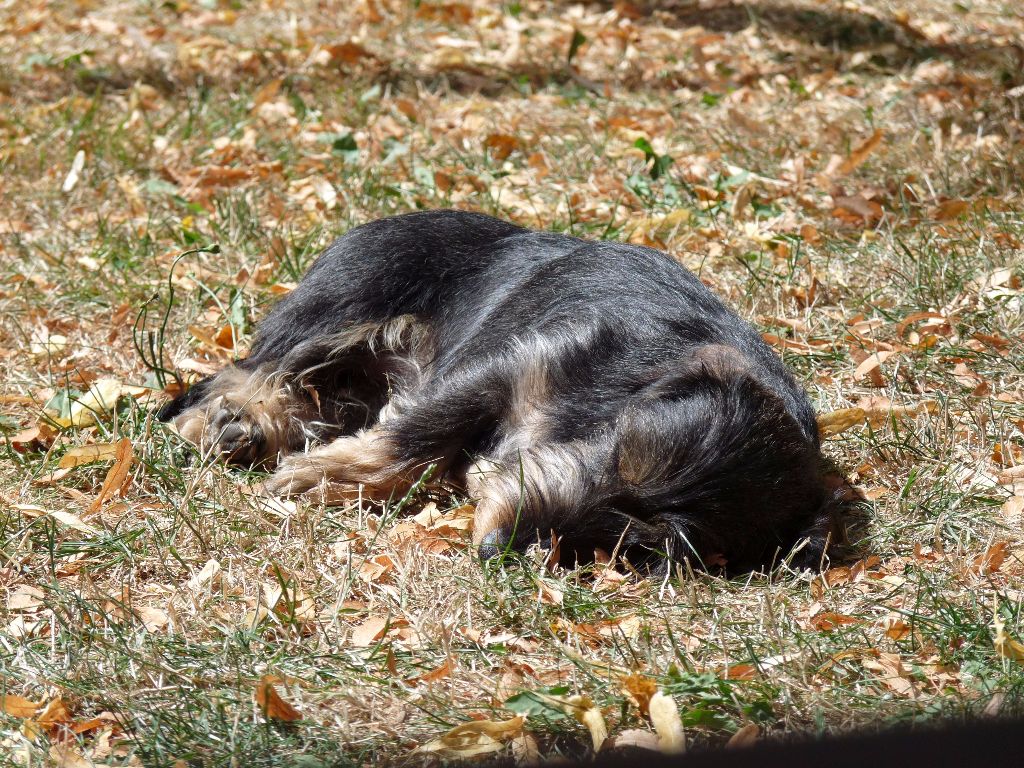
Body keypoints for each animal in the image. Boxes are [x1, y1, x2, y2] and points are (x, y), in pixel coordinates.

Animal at [155, 210, 835, 573]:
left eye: (642, 544)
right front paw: (324, 476)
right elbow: (412, 437)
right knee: (253, 372)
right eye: (621, 454)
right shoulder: (508, 367)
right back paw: (232, 423)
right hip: (338, 311)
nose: (494, 549)